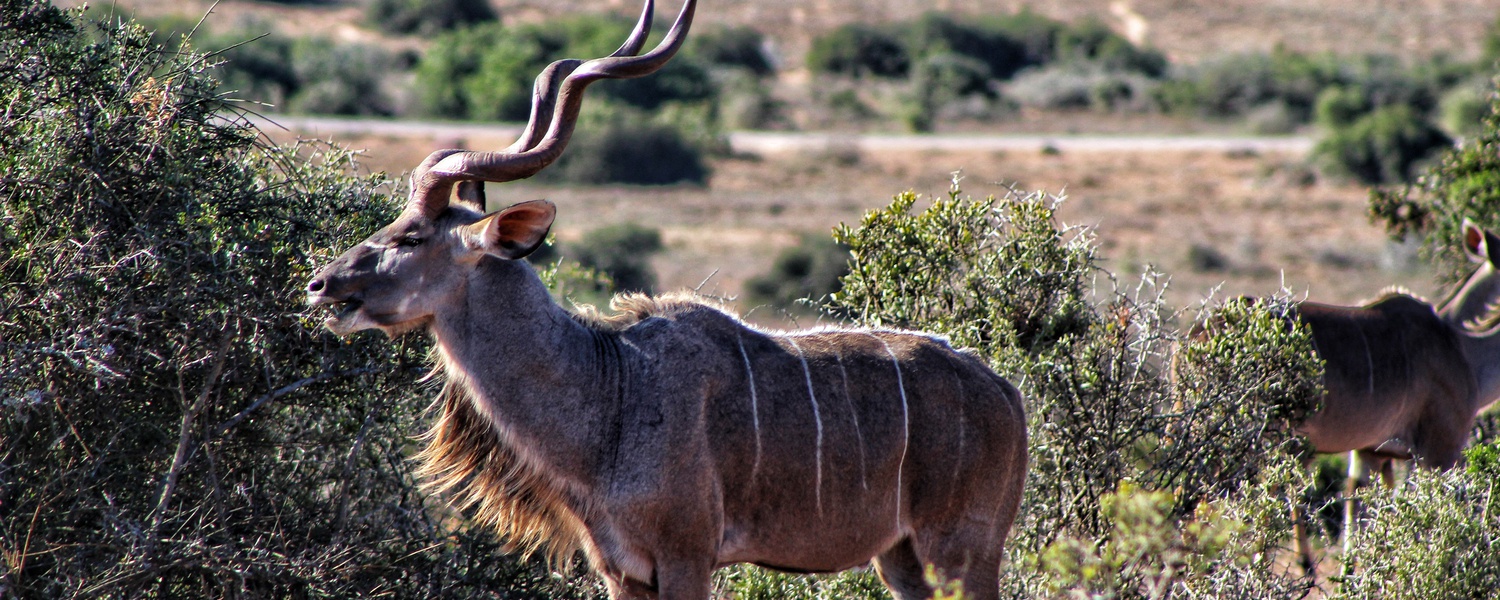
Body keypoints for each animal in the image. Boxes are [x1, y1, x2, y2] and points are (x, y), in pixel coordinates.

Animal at [304, 2, 1032, 597]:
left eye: (412, 235)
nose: (320, 285)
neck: (610, 389)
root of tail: (1005, 391)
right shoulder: (620, 571)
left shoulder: (686, 557)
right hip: (903, 559)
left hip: (961, 550)